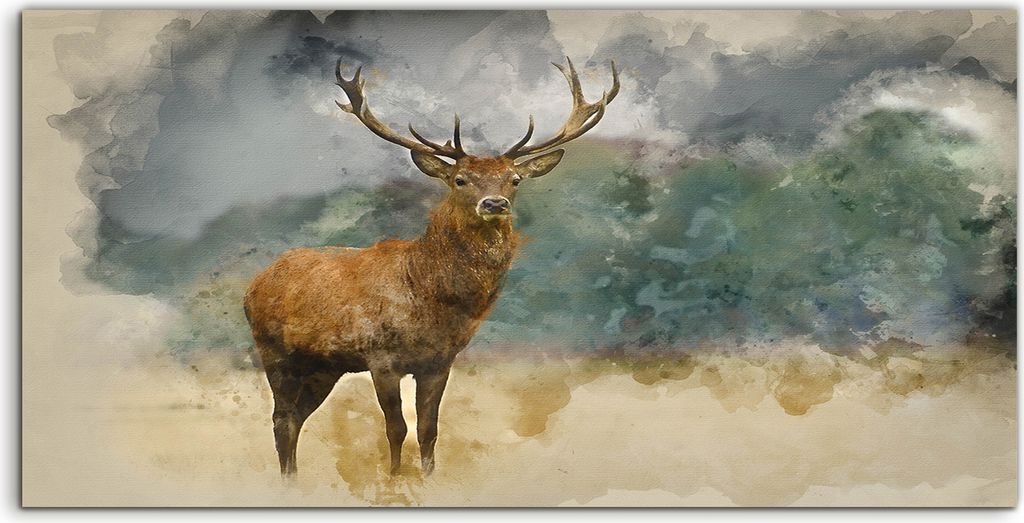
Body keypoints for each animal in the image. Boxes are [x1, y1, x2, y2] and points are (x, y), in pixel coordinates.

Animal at [243, 57, 619, 478]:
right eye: (460, 179)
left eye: (515, 179)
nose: (494, 204)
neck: (428, 297)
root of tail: (254, 284)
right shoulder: (381, 356)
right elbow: (395, 429)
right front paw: (394, 479)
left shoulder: (440, 361)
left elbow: (428, 429)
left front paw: (427, 478)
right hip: (274, 349)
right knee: (281, 419)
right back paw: (288, 480)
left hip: (324, 366)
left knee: (296, 418)